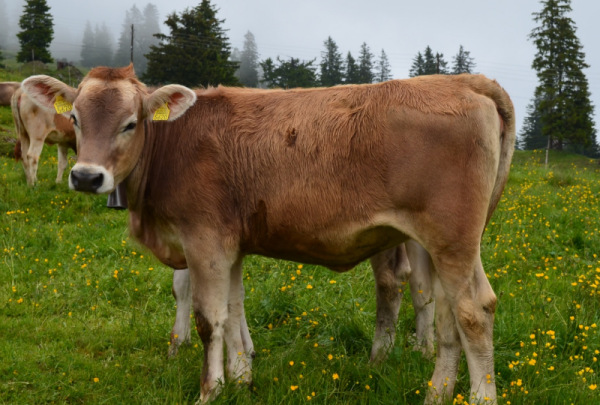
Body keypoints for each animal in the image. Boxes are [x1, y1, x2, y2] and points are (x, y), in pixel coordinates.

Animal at [21, 64, 512, 402]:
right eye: (76, 119)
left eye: (130, 122)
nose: (87, 177)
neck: (175, 145)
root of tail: (467, 81)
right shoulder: (230, 244)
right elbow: (235, 308)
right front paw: (242, 377)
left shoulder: (205, 242)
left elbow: (209, 318)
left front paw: (210, 389)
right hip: (441, 244)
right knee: (446, 311)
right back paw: (435, 392)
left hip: (452, 238)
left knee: (472, 311)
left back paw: (478, 395)